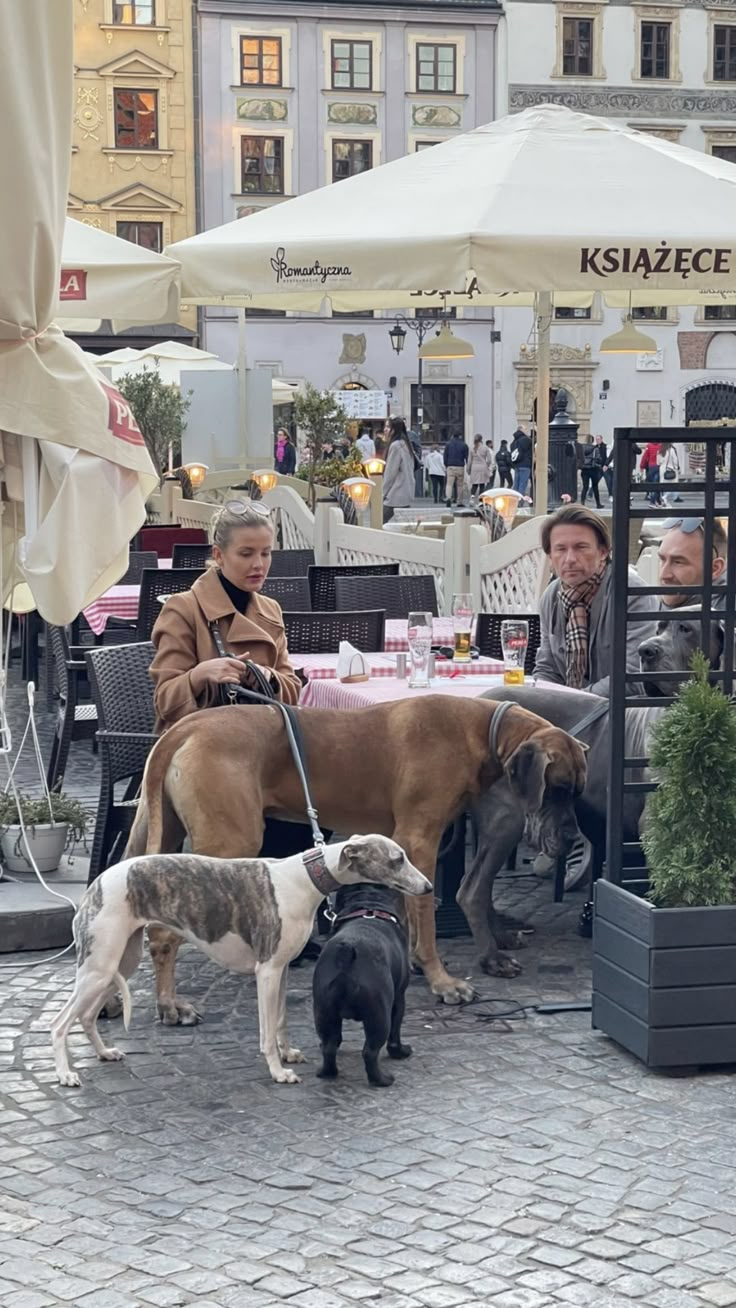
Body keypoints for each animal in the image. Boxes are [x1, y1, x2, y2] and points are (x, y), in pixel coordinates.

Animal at [125, 701, 588, 1015]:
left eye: (576, 791)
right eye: (558, 788)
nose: (571, 837)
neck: (479, 730)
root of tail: (185, 726)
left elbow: (411, 915)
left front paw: (413, 963)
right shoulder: (420, 840)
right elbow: (427, 918)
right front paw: (441, 980)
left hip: (151, 828)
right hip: (228, 841)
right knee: (162, 929)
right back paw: (168, 1004)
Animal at [312, 884, 415, 1088]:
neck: (369, 906)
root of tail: (346, 952)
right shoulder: (399, 999)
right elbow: (395, 1034)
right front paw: (401, 1052)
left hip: (324, 1010)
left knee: (329, 1046)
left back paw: (327, 1073)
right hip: (379, 1015)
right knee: (370, 1052)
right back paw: (382, 1080)